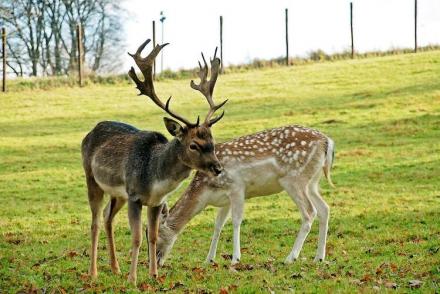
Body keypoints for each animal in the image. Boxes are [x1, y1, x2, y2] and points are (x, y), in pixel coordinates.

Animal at [81, 39, 229, 284]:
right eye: (193, 145)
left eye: (212, 141)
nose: (217, 168)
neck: (155, 178)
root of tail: (90, 132)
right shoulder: (135, 196)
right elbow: (137, 238)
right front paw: (133, 279)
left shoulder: (157, 201)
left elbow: (152, 236)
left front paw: (153, 275)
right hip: (92, 178)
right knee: (94, 222)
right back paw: (93, 273)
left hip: (117, 194)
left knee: (107, 217)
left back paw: (115, 268)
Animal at [154, 125, 334, 268]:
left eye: (156, 236)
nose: (155, 261)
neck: (205, 191)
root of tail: (327, 142)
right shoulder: (225, 200)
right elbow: (218, 225)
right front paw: (209, 259)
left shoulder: (237, 188)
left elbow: (236, 221)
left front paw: (235, 259)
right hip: (312, 182)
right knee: (324, 209)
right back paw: (319, 258)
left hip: (294, 179)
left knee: (310, 212)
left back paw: (290, 258)